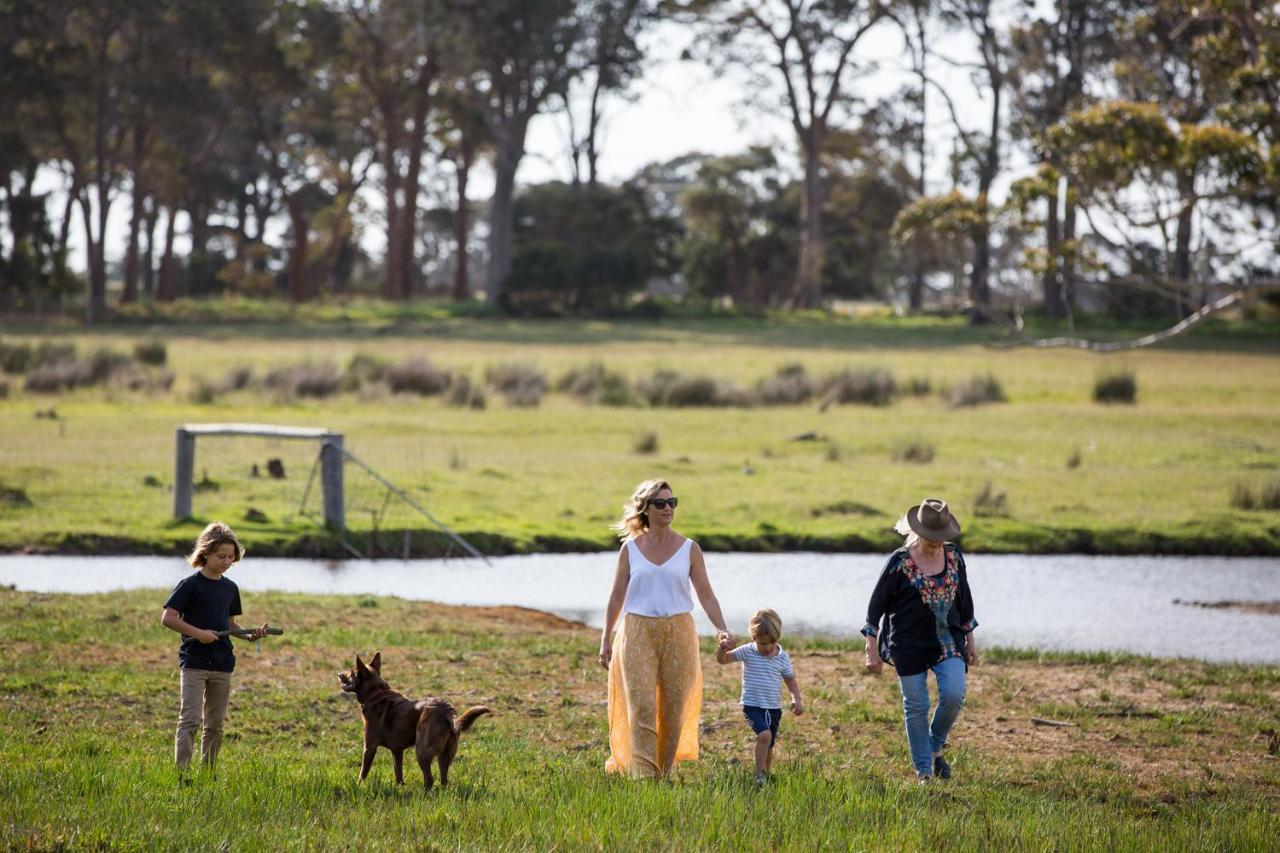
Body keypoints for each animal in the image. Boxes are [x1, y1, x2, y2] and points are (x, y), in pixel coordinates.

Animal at [340, 650, 488, 783]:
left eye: (351, 672)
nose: (339, 674)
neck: (375, 692)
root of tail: (448, 711)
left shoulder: (369, 747)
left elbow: (363, 773)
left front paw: (359, 786)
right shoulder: (397, 751)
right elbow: (398, 775)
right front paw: (400, 788)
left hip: (421, 752)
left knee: (429, 779)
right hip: (444, 756)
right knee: (444, 780)